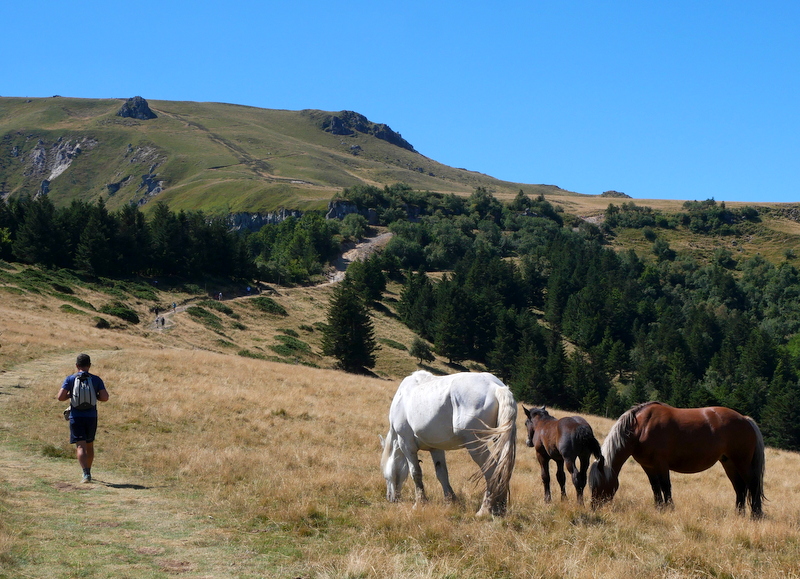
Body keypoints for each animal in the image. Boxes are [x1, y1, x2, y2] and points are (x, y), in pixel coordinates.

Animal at [380, 370, 517, 516]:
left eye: (385, 473)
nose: (390, 498)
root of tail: (496, 387)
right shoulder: (436, 448)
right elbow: (442, 473)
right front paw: (450, 501)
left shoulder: (406, 444)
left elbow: (415, 473)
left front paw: (420, 503)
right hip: (499, 441)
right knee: (502, 470)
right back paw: (499, 508)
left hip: (475, 446)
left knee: (491, 472)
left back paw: (485, 509)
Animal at [588, 401, 766, 518]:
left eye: (598, 483)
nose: (594, 507)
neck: (641, 427)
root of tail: (745, 419)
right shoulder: (648, 466)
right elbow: (655, 487)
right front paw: (659, 508)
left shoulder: (661, 463)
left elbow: (665, 486)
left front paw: (669, 509)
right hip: (729, 463)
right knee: (740, 487)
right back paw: (739, 514)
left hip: (742, 462)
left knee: (752, 484)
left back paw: (755, 515)